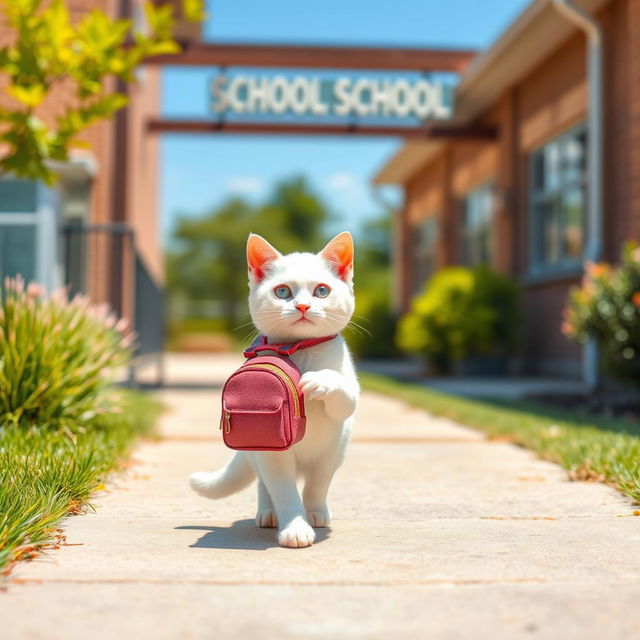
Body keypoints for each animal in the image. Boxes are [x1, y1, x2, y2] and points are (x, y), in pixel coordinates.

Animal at [190, 232, 360, 548]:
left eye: (321, 291)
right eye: (283, 292)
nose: (303, 306)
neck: (298, 351)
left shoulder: (340, 419)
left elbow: (318, 482)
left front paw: (320, 380)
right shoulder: (274, 454)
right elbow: (284, 491)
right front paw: (294, 527)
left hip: (337, 448)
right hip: (260, 452)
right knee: (264, 484)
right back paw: (268, 512)